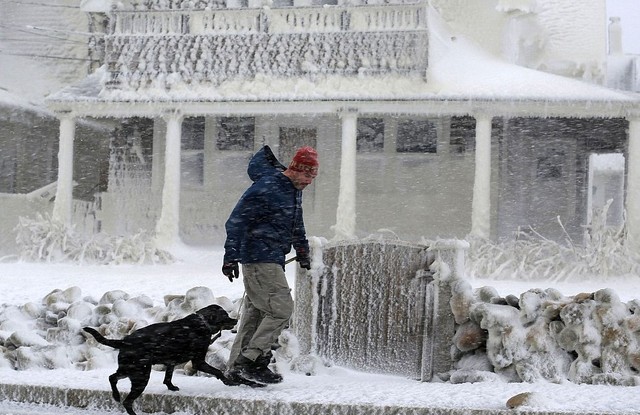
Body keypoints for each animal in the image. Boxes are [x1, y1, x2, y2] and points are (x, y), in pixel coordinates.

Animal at [84, 306, 262, 415]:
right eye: (225, 315)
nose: (235, 320)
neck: (202, 323)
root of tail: (124, 341)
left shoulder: (171, 361)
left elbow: (168, 375)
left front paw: (170, 386)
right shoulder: (198, 361)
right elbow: (217, 371)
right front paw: (229, 382)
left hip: (129, 369)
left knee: (112, 377)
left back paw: (115, 396)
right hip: (140, 375)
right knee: (127, 401)